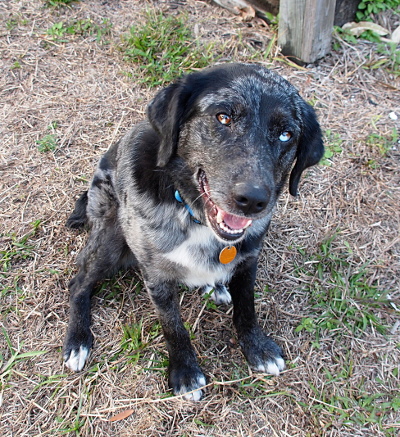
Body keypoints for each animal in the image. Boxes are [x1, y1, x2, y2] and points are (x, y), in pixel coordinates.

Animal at [63, 63, 324, 400]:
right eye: (223, 117)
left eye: (286, 134)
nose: (253, 200)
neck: (194, 214)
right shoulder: (156, 275)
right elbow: (173, 326)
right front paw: (185, 372)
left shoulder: (248, 259)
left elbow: (247, 307)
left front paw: (257, 347)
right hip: (109, 237)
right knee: (79, 282)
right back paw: (78, 341)